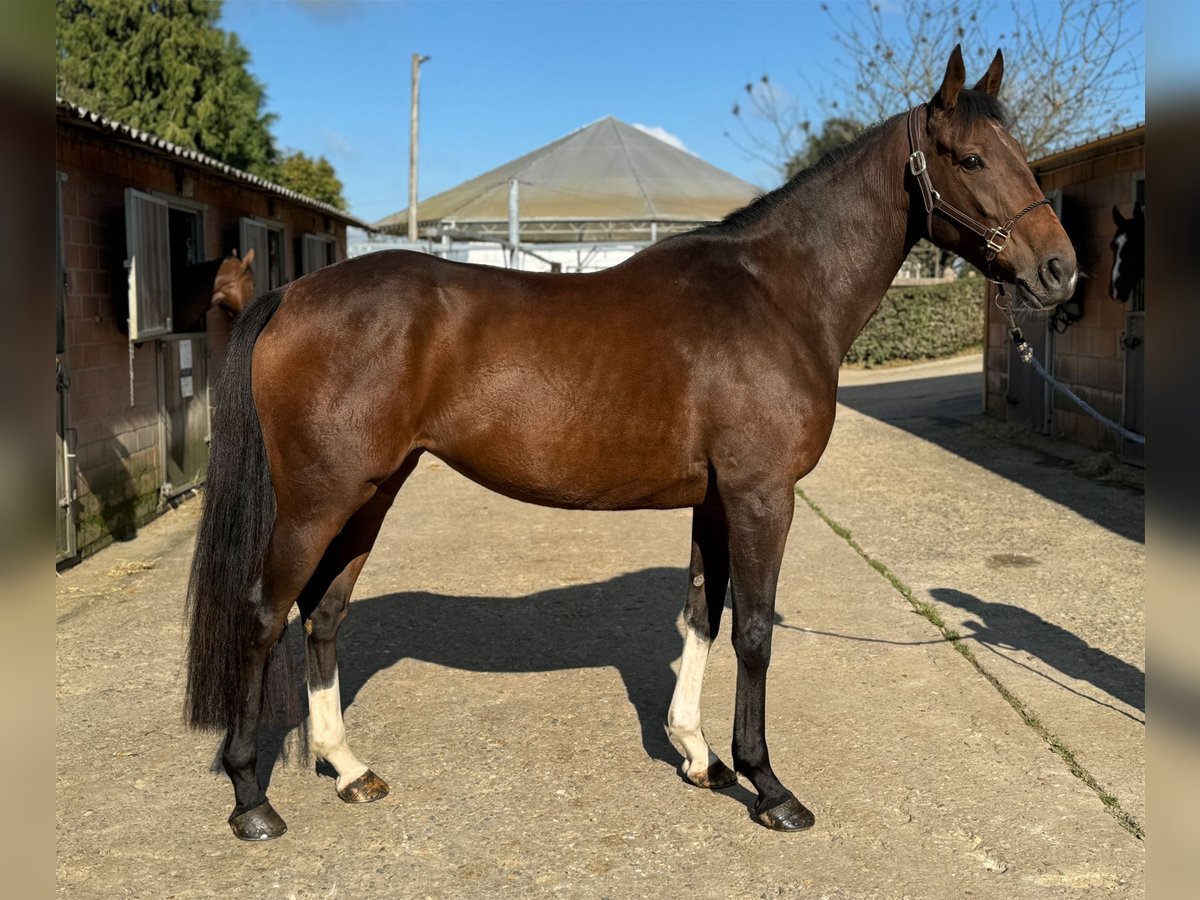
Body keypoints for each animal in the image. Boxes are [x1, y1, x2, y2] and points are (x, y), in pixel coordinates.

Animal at [184, 45, 1080, 844]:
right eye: (972, 157)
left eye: (1021, 156)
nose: (1061, 271)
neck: (775, 294)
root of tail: (291, 294)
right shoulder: (762, 497)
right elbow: (754, 631)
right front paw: (768, 786)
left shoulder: (717, 502)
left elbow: (702, 615)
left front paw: (698, 755)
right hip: (318, 501)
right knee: (263, 617)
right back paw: (250, 800)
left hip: (371, 491)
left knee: (323, 615)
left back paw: (347, 768)